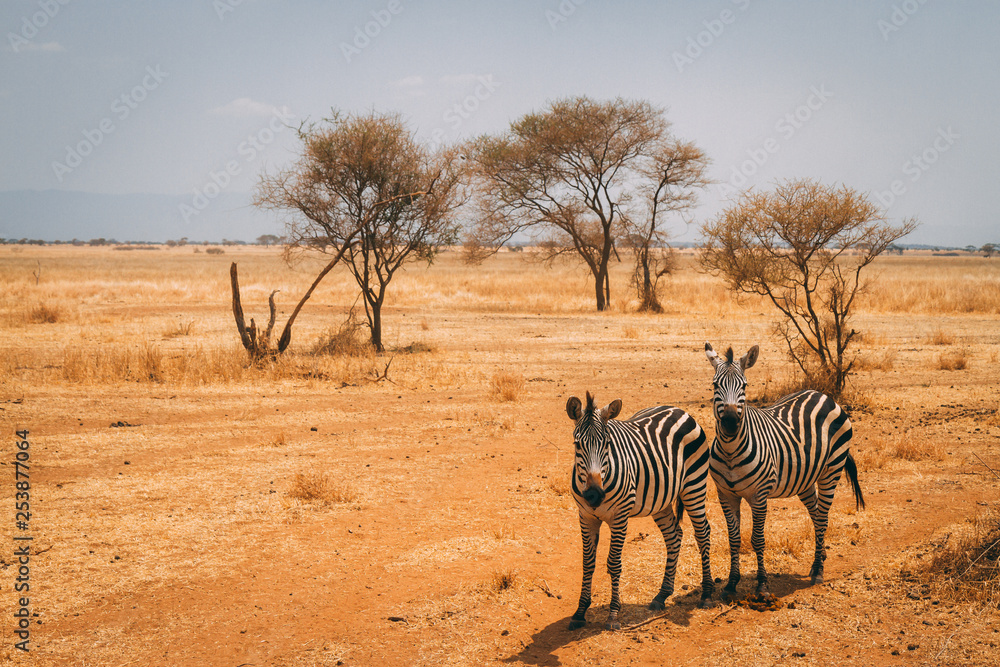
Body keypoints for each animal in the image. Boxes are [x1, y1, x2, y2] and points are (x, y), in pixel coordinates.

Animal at [565, 391, 714, 631]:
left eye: (607, 444)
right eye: (577, 444)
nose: (594, 495)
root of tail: (678, 410)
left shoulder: (619, 517)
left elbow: (614, 563)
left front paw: (613, 615)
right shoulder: (586, 516)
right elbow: (588, 563)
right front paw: (580, 613)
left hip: (694, 486)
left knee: (703, 534)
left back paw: (707, 594)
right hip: (661, 500)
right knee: (674, 536)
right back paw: (662, 595)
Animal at [703, 342, 865, 600]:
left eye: (744, 385)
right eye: (715, 385)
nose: (729, 422)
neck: (730, 452)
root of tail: (823, 395)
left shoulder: (759, 496)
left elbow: (757, 540)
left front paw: (762, 585)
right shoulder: (726, 495)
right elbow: (734, 540)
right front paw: (731, 584)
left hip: (831, 470)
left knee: (822, 517)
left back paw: (818, 571)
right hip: (805, 479)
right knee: (816, 514)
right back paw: (819, 558)